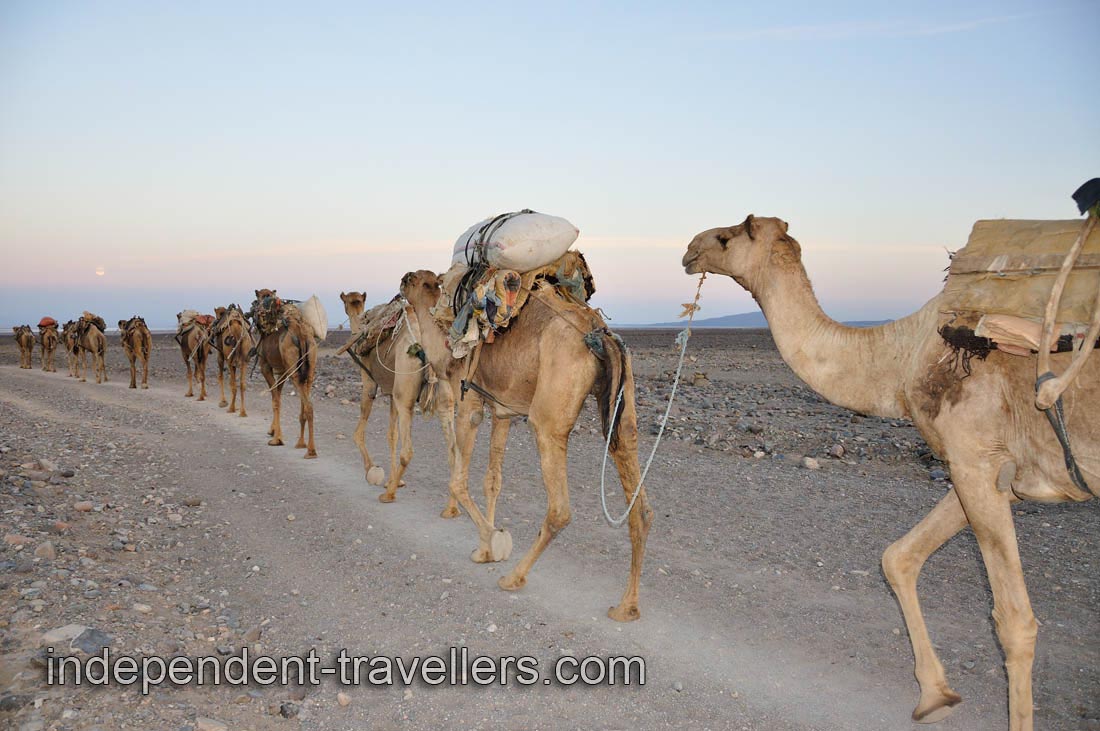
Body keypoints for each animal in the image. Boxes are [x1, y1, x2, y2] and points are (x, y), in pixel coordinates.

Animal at [252, 289, 318, 457]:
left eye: (257, 299)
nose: (255, 309)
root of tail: (302, 335)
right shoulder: (282, 370)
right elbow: (278, 395)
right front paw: (273, 431)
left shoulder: (265, 366)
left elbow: (275, 399)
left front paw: (277, 439)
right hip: (309, 367)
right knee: (306, 399)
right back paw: (301, 443)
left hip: (293, 369)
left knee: (308, 405)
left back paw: (311, 450)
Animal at [340, 291, 460, 508]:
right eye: (350, 301)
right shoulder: (391, 395)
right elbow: (392, 435)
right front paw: (395, 479)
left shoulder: (370, 384)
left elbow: (359, 433)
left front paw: (373, 471)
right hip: (445, 395)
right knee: (453, 451)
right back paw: (452, 508)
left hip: (405, 392)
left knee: (408, 450)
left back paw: (388, 495)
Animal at [401, 269, 653, 622]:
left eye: (419, 281)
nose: (403, 278)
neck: (447, 351)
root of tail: (597, 335)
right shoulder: (502, 411)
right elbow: (492, 480)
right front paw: (483, 549)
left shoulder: (470, 403)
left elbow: (458, 480)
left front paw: (493, 544)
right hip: (623, 409)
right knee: (638, 503)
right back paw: (627, 606)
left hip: (548, 419)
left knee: (560, 509)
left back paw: (514, 577)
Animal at [683, 215, 1098, 731]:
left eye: (726, 237)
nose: (688, 248)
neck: (903, 358)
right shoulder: (992, 471)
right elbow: (898, 557)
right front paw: (935, 696)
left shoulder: (975, 458)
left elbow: (1014, 622)